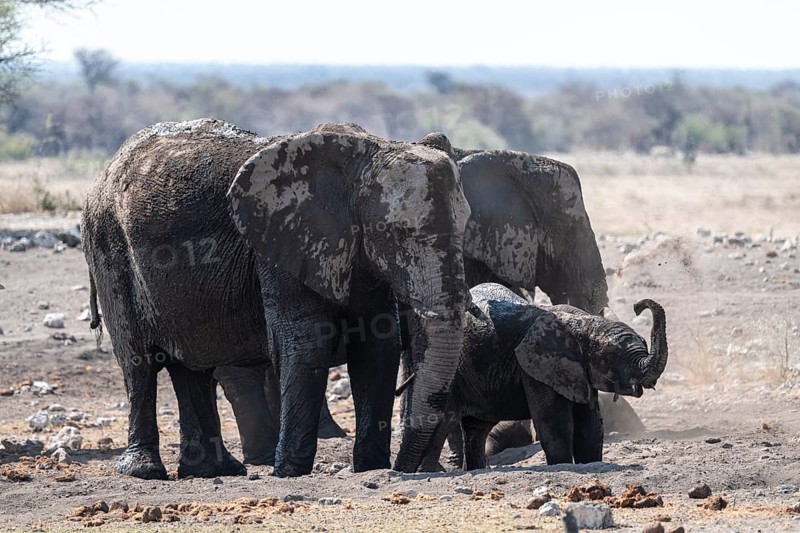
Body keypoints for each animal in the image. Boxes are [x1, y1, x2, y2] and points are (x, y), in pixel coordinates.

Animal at [82, 118, 471, 479]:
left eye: (466, 225)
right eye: (396, 233)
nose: (405, 469)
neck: (366, 154)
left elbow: (377, 346)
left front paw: (369, 468)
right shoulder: (280, 243)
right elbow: (306, 342)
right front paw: (289, 472)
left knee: (191, 366)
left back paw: (215, 471)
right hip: (109, 248)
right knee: (138, 362)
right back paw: (144, 471)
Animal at [418, 283, 667, 470]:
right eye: (612, 357)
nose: (637, 306)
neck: (584, 324)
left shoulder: (578, 372)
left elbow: (590, 423)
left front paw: (590, 464)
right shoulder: (535, 367)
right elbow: (556, 422)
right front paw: (563, 466)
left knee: (476, 429)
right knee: (445, 419)